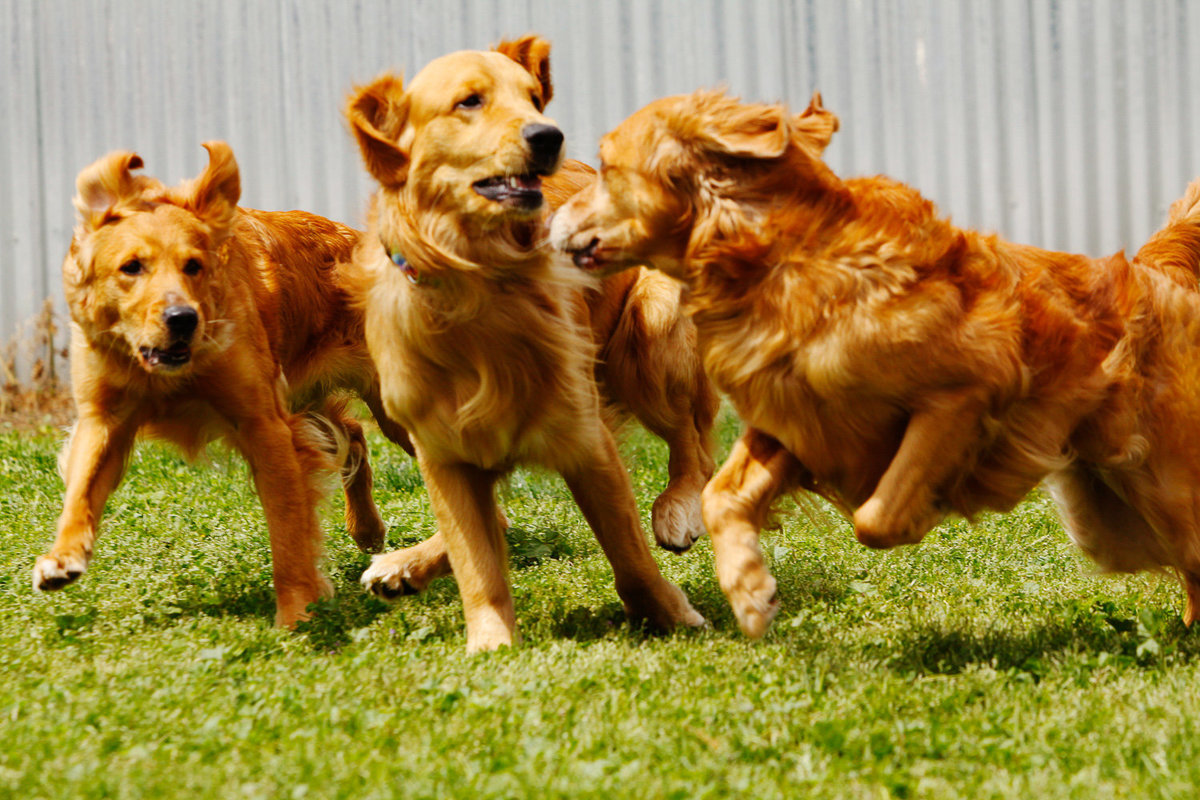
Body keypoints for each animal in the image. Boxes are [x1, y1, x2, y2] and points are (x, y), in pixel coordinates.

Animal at [34, 145, 412, 633]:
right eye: (131, 268)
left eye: (193, 265)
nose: (182, 319)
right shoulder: (103, 418)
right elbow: (80, 490)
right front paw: (63, 557)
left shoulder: (264, 424)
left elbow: (288, 532)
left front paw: (296, 611)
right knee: (353, 435)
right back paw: (366, 527)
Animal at [343, 35, 710, 652]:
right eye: (470, 101)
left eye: (534, 98)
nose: (548, 135)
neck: (479, 285)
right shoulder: (441, 449)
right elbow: (476, 560)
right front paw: (490, 642)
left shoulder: (586, 439)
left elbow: (629, 554)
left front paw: (671, 614)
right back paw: (404, 564)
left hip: (651, 333)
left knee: (694, 445)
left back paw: (678, 508)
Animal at [554, 89, 1200, 638]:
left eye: (607, 168)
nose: (550, 218)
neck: (787, 267)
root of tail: (1155, 272)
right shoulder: (795, 419)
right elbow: (722, 497)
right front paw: (751, 592)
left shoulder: (965, 395)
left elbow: (876, 515)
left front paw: (922, 511)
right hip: (1106, 518)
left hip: (1163, 493)